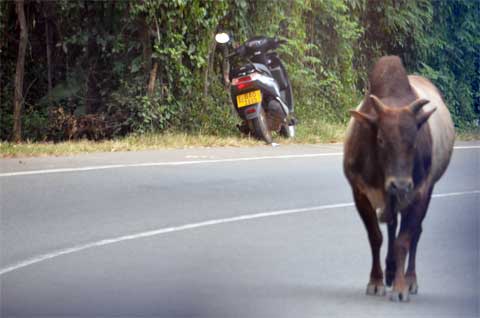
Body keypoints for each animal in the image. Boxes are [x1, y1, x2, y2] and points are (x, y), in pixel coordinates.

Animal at [344, 56, 454, 302]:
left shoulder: (419, 192)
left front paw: (401, 287)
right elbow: (376, 237)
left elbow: (404, 240)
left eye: (414, 140)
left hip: (426, 190)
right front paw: (376, 282)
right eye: (381, 139)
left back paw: (409, 278)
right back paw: (390, 271)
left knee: (415, 233)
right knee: (392, 226)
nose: (400, 184)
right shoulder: (360, 193)